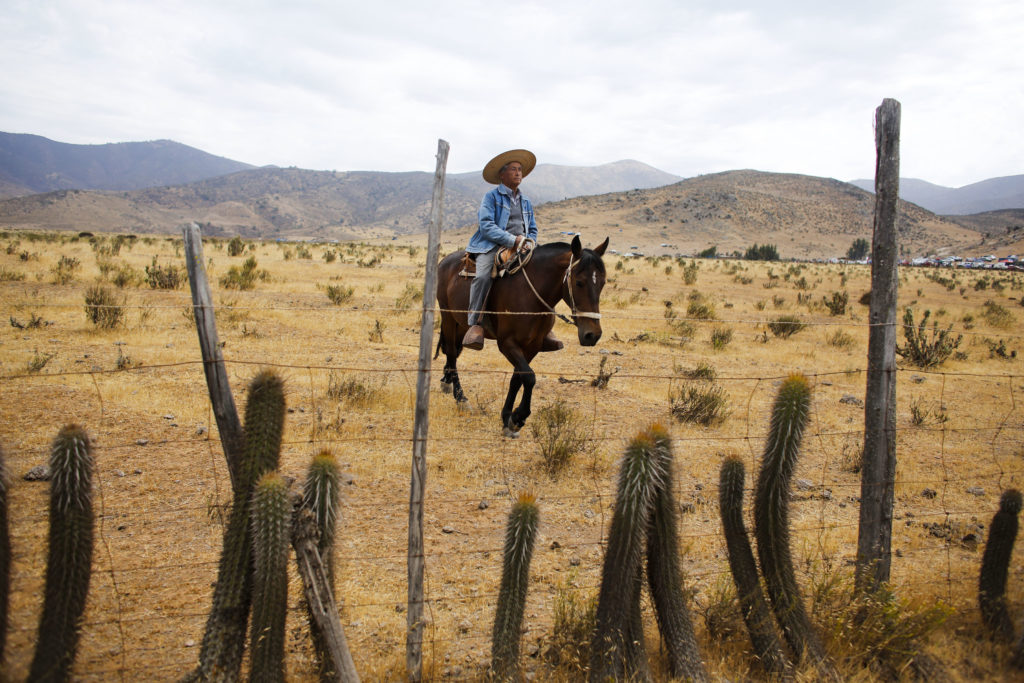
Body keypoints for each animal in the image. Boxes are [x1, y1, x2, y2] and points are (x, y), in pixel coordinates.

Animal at [434, 235, 606, 438]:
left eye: (602, 283)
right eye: (579, 282)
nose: (592, 335)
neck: (529, 295)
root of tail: (445, 261)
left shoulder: (532, 346)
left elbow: (518, 378)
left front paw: (507, 417)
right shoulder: (507, 344)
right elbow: (530, 377)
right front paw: (519, 417)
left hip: (462, 324)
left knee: (454, 350)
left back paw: (447, 381)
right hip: (448, 317)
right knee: (452, 352)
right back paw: (461, 397)